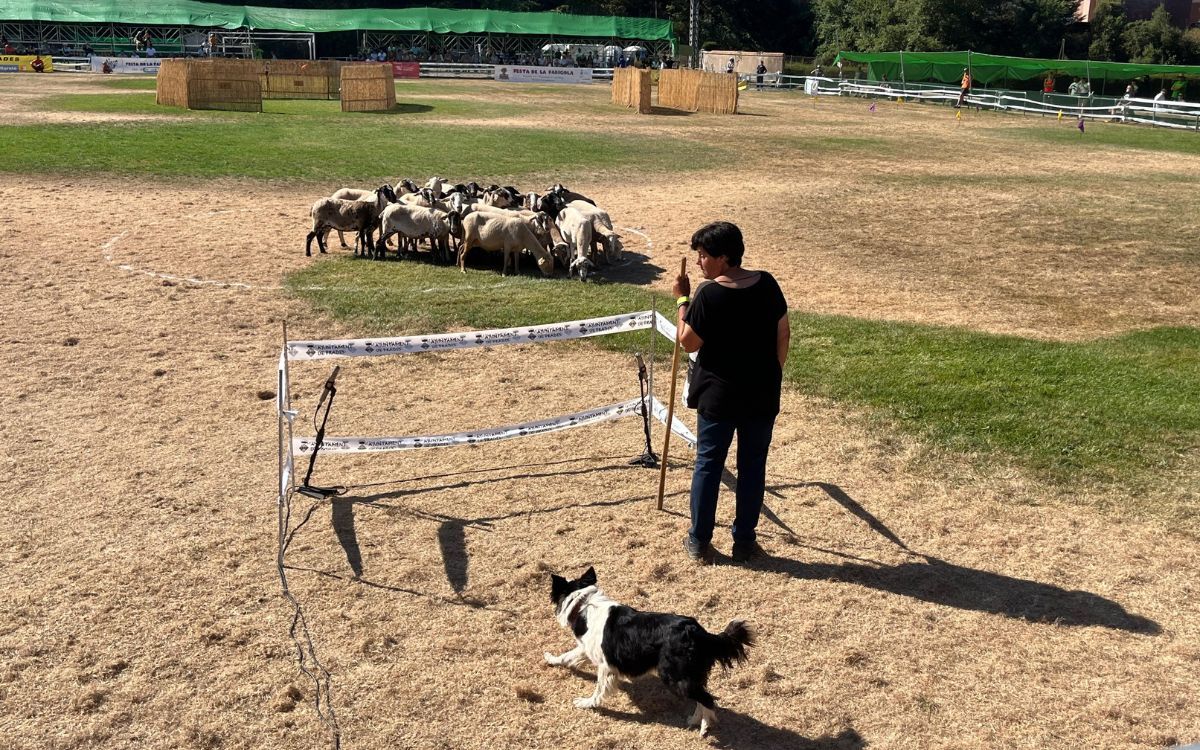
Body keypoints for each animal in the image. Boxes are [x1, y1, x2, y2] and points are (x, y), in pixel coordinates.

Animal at [542, 566, 748, 729]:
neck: (583, 605)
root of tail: (698, 632)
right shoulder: (588, 649)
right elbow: (567, 656)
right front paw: (550, 658)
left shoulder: (606, 666)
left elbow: (599, 690)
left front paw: (587, 703)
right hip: (689, 676)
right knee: (701, 698)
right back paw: (695, 720)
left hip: (674, 676)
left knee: (707, 699)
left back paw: (705, 726)